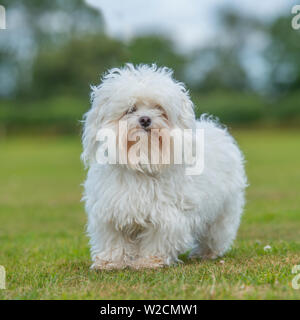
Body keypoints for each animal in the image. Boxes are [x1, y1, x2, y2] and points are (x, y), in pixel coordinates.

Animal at [81, 63, 246, 268]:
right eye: (131, 109)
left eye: (159, 109)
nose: (145, 119)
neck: (143, 162)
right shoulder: (110, 212)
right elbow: (114, 240)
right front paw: (110, 262)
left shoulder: (165, 217)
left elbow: (157, 239)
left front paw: (148, 261)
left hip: (222, 213)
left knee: (215, 235)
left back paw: (206, 253)